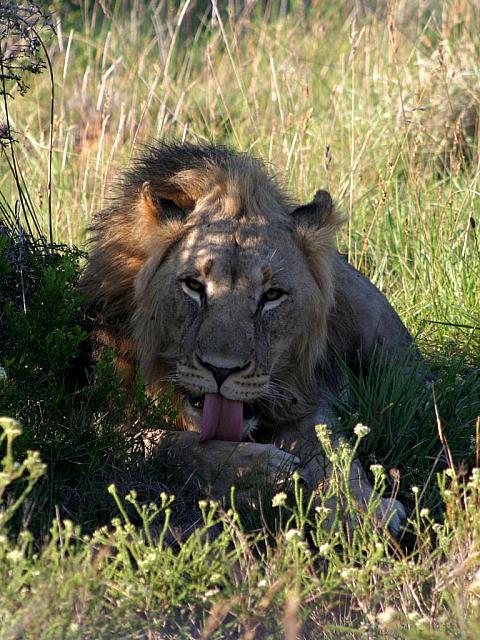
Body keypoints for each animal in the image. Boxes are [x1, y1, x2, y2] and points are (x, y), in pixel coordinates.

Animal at [80, 142, 422, 535]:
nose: (221, 370)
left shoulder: (305, 398)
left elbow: (334, 450)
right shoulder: (98, 417)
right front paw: (264, 471)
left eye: (272, 295)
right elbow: (166, 444)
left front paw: (364, 509)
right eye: (194, 285)